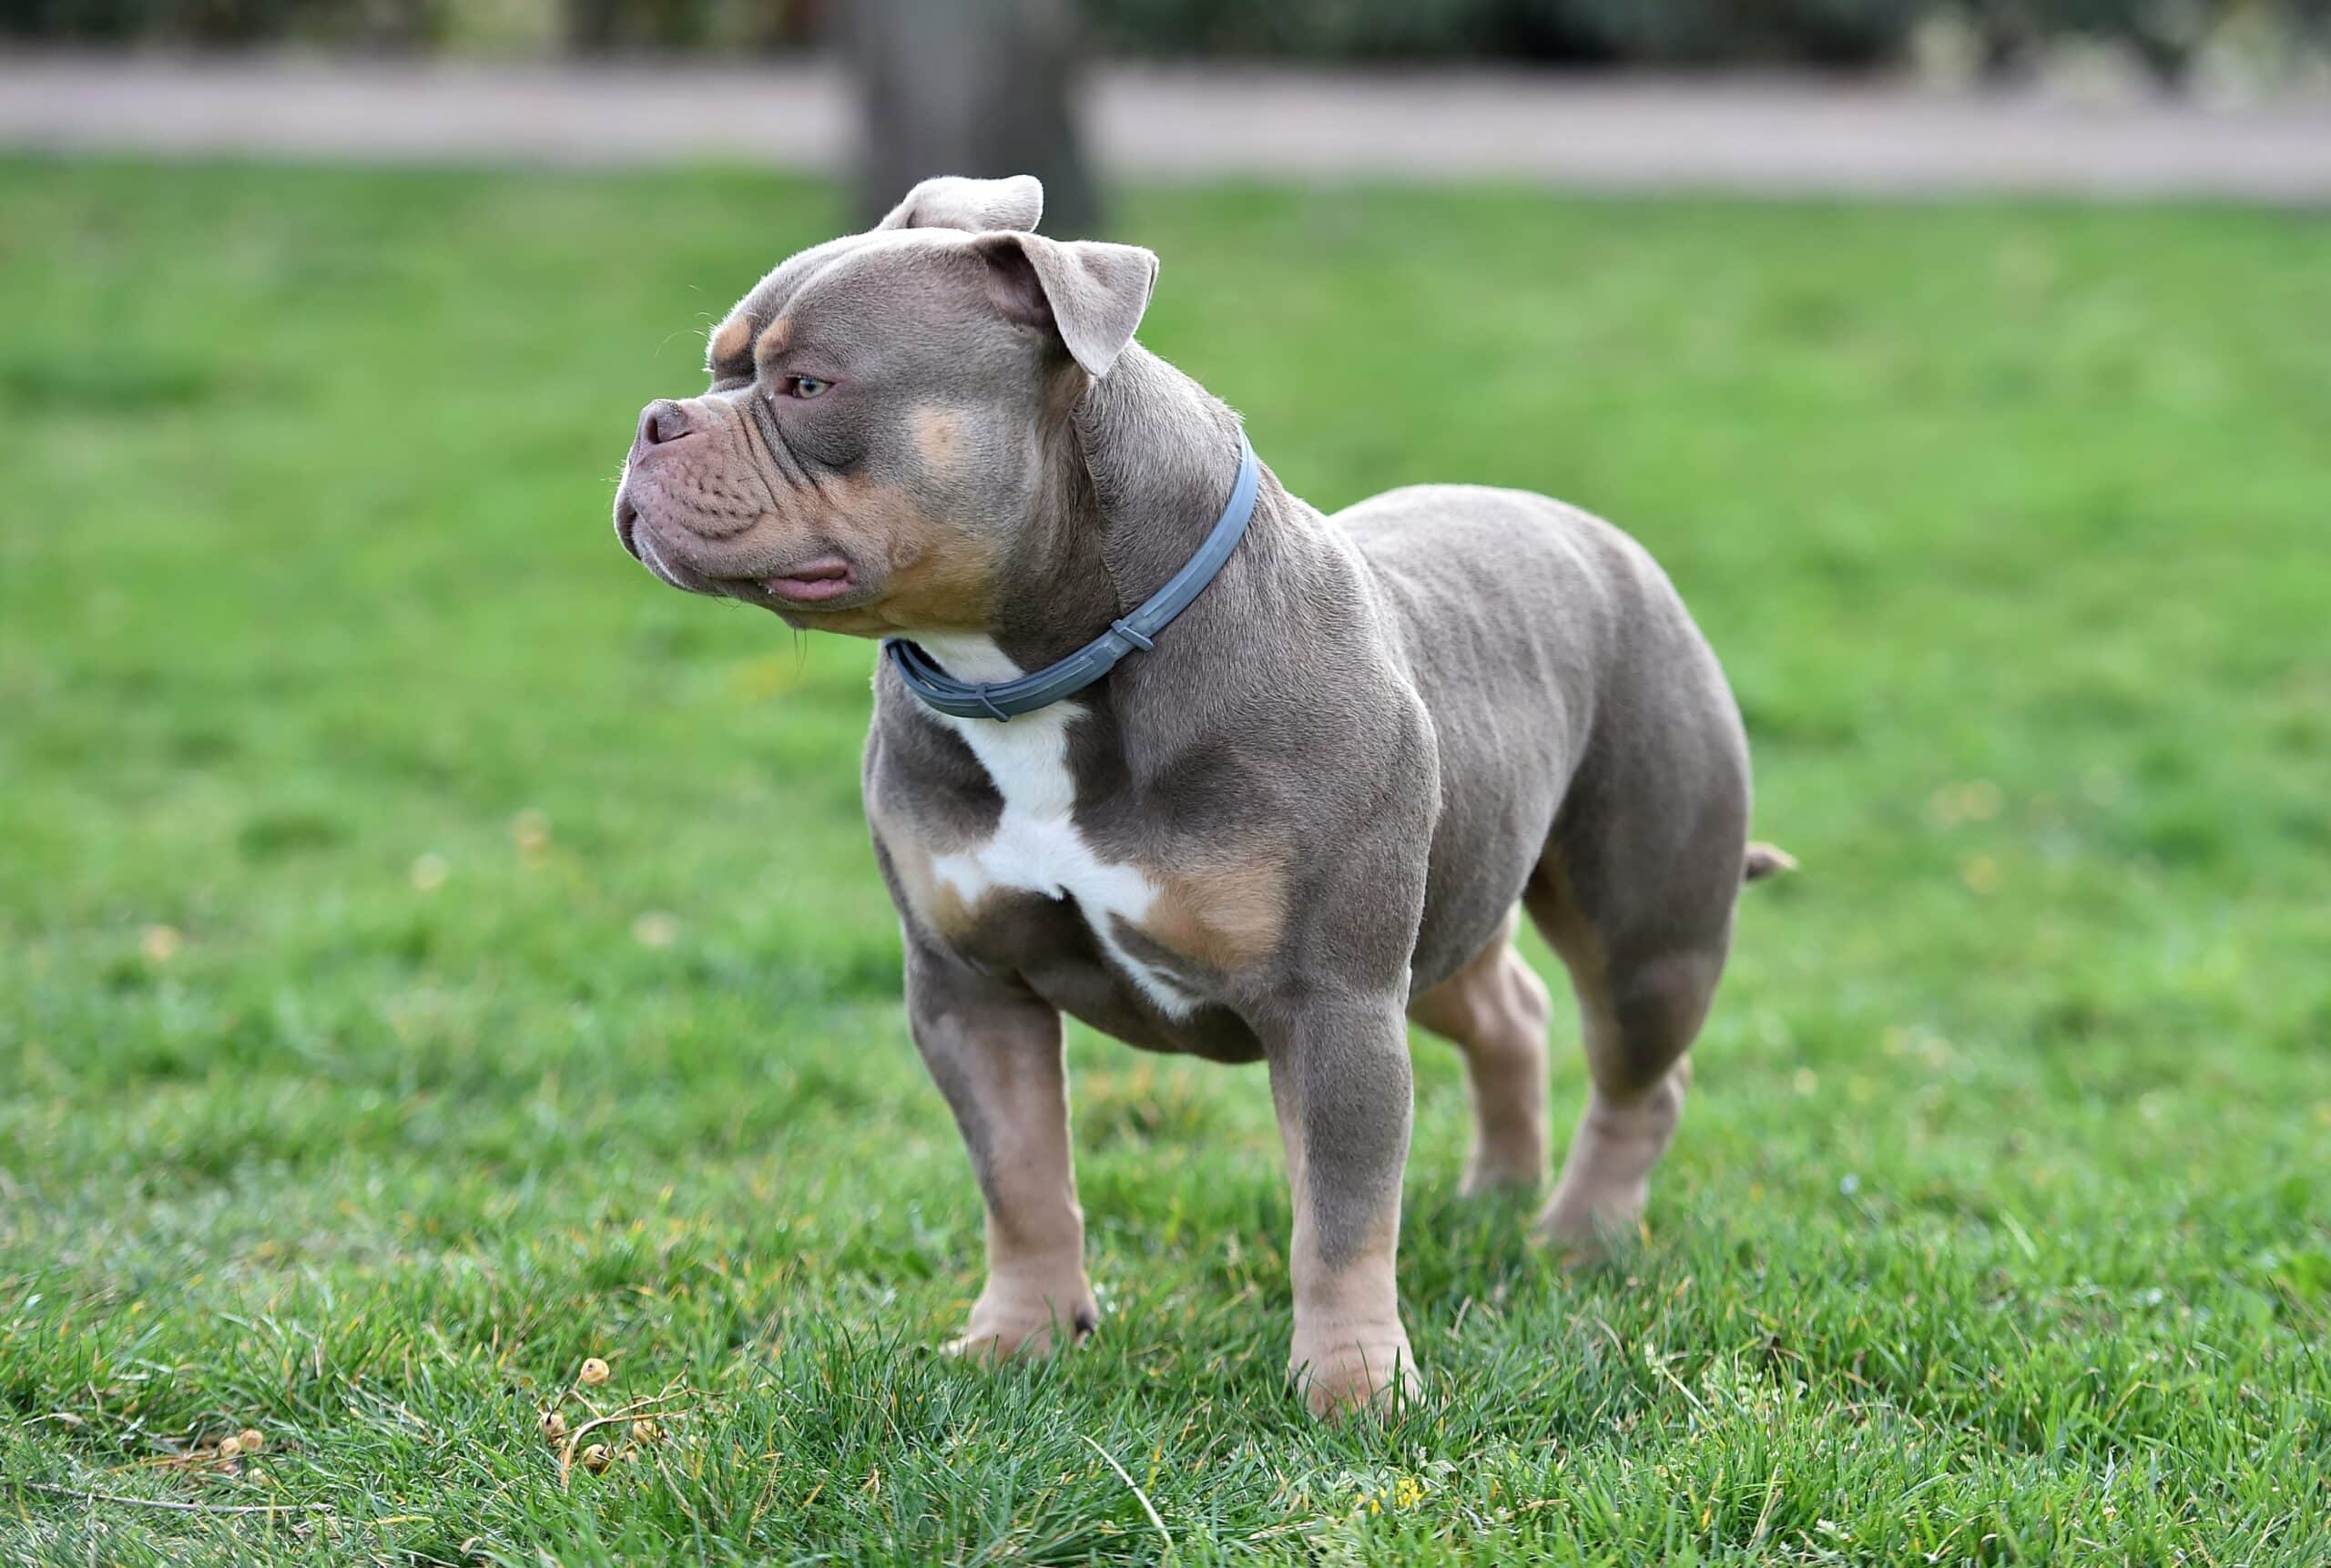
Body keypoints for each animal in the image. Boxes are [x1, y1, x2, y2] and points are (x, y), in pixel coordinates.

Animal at [610, 174, 1790, 1416]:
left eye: (809, 386)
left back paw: (1577, 1237)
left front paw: (1354, 1391)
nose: (653, 422)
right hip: (1446, 918)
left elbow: (1339, 1218)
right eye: (716, 369)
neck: (1045, 673)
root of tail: (1597, 535)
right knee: (1508, 1013)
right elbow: (1020, 1179)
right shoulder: (969, 991)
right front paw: (1020, 1338)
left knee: (1640, 1079)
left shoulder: (1332, 1005)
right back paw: (1498, 1200)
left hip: (1642, 932)